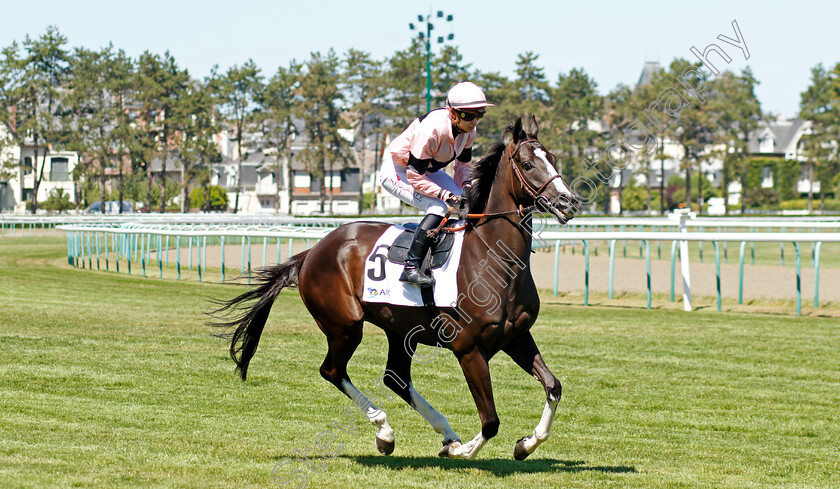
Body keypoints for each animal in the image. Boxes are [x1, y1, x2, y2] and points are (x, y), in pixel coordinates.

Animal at [213, 116, 580, 460]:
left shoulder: (516, 336)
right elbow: (490, 421)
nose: (570, 202)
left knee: (395, 376)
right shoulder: (469, 349)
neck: (492, 257)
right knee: (333, 370)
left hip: (401, 329)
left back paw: (444, 434)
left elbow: (554, 386)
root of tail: (312, 252)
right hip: (345, 325)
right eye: (529, 164)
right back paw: (385, 430)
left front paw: (527, 443)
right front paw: (466, 450)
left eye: (554, 158)